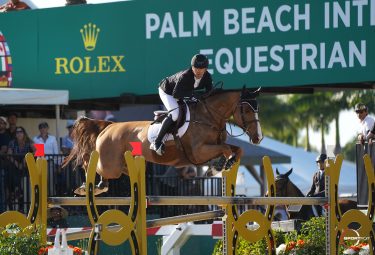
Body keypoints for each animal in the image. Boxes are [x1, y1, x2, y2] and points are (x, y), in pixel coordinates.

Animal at [64, 87, 264, 193]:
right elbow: (226, 149)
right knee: (90, 162)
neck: (208, 117)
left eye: (257, 109)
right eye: (247, 109)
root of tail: (108, 127)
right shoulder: (199, 152)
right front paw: (217, 167)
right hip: (110, 165)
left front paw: (221, 166)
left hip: (122, 165)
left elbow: (236, 149)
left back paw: (98, 186)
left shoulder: (210, 148)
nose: (258, 138)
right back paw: (85, 186)